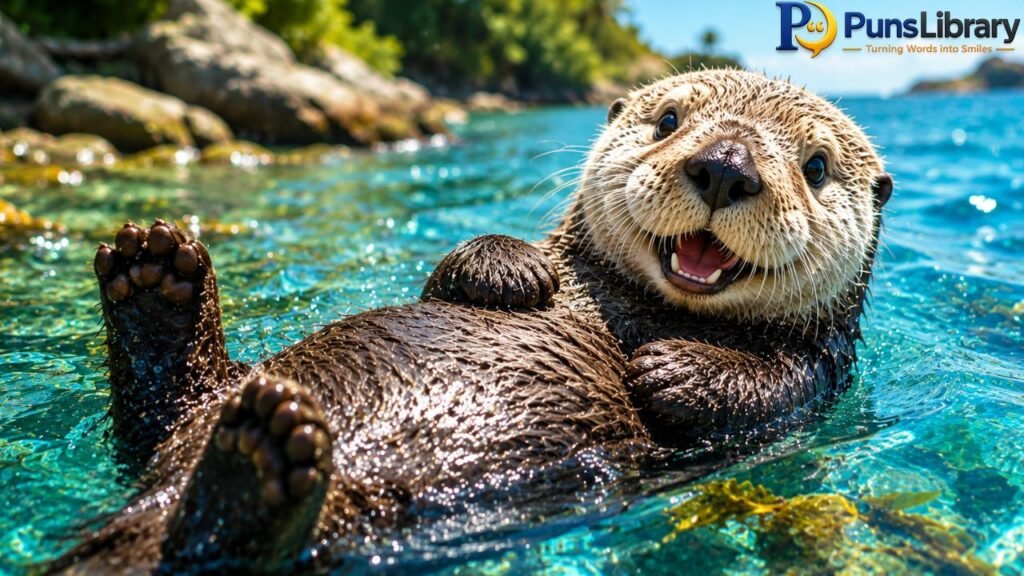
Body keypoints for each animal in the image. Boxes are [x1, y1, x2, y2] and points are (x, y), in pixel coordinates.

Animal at [52, 70, 892, 573]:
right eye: (668, 120)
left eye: (816, 167)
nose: (725, 167)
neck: (641, 309)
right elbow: (459, 270)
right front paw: (510, 269)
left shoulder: (822, 372)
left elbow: (772, 386)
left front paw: (671, 368)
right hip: (202, 418)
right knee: (168, 413)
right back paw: (156, 276)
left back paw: (258, 459)